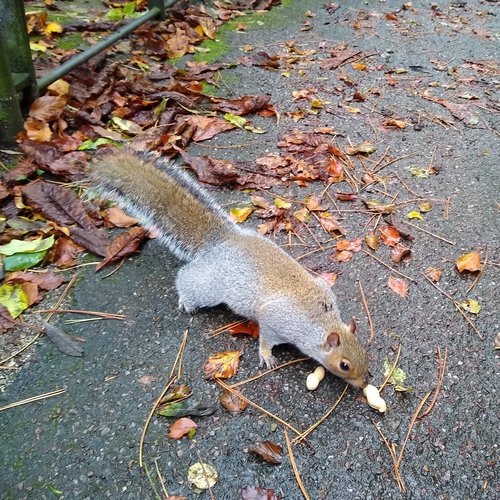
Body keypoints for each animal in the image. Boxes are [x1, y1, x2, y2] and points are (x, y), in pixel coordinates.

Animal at [92, 152, 370, 390]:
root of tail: (224, 240)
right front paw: (266, 356)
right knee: (187, 279)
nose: (362, 384)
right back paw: (185, 300)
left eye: (364, 350)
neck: (321, 323)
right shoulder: (276, 320)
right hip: (210, 287)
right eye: (344, 365)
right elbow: (266, 338)